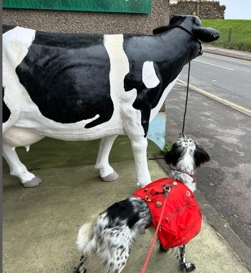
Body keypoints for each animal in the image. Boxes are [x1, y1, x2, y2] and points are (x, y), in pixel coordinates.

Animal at [74, 134, 210, 272]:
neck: (180, 177)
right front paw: (186, 266)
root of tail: (101, 224)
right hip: (119, 258)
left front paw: (164, 248)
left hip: (92, 248)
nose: (181, 134)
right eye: (187, 140)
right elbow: (182, 254)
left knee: (82, 259)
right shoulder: (179, 230)